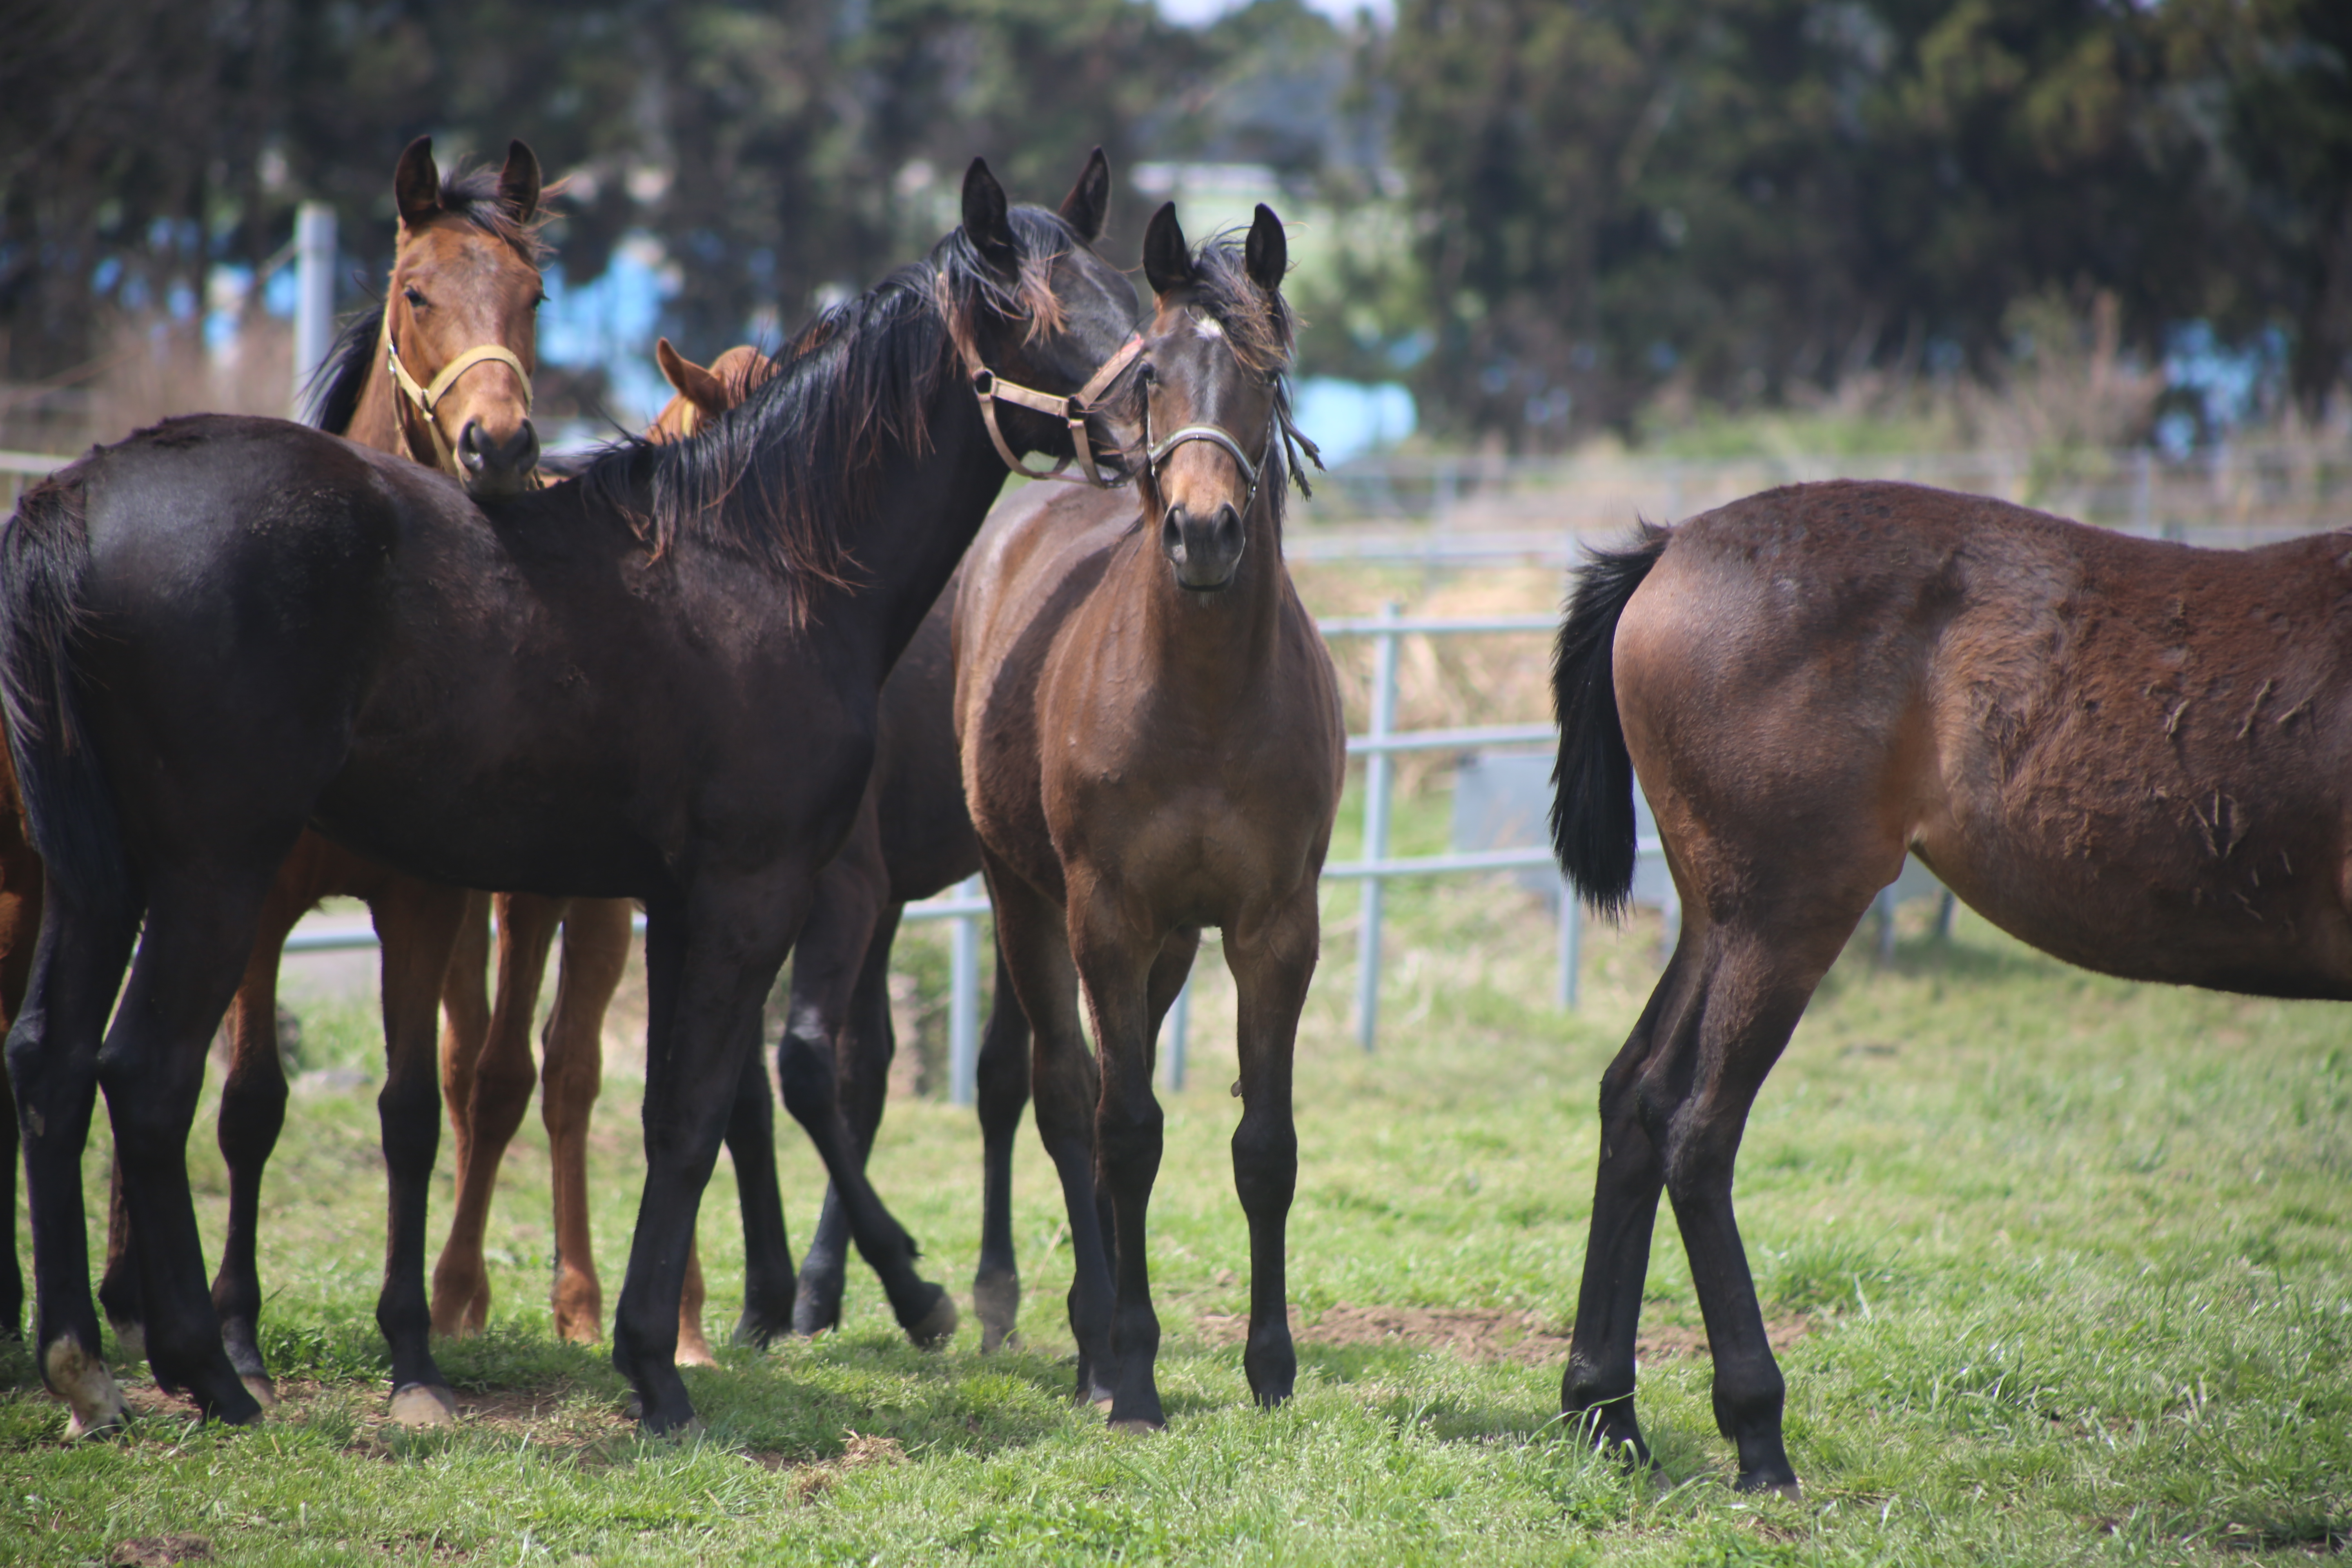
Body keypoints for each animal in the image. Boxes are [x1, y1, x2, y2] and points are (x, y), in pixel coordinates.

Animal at [0, 147, 1138, 1439]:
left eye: (1116, 288)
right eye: (1037, 313)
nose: (1154, 417)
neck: (768, 558)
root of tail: (71, 500)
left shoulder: (679, 906)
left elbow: (671, 1114)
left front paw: (658, 1345)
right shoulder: (750, 893)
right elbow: (696, 1115)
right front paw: (666, 1370)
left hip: (102, 877)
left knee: (50, 1058)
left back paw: (85, 1366)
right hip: (211, 873)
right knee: (143, 1076)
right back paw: (207, 1368)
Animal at [945, 202, 1336, 1429]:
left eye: (1266, 374)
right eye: (1153, 373)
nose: (1204, 533)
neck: (1203, 700)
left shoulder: (1272, 929)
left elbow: (1265, 1146)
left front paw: (1270, 1367)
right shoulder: (1103, 915)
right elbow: (1121, 1130)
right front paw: (1134, 1370)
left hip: (1167, 946)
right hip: (1026, 900)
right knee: (1071, 1099)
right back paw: (1094, 1344)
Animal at [1552, 482, 2352, 1495]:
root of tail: (1673, 545)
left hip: (1716, 920)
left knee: (1633, 1097)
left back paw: (1606, 1418)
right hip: (1784, 919)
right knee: (1695, 1126)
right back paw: (1756, 1435)